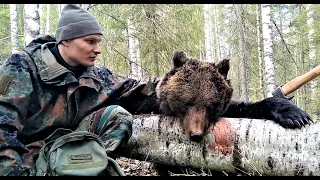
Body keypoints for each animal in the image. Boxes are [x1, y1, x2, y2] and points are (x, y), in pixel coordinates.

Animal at [111, 50, 312, 142]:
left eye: (211, 105)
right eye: (185, 103)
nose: (196, 134)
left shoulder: (230, 108)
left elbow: (245, 107)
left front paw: (294, 114)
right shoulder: (149, 103)